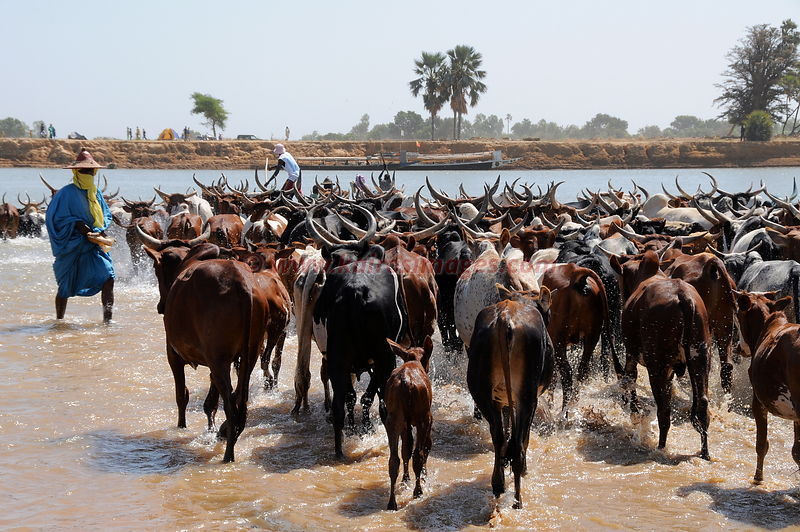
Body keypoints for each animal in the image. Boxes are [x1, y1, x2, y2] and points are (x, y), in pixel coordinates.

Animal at [384, 336, 434, 512]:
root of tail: (407, 383)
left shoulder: (405, 423)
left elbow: (406, 449)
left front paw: (405, 479)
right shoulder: (427, 417)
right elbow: (425, 446)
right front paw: (423, 477)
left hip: (393, 419)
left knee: (394, 459)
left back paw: (392, 502)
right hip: (421, 418)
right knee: (418, 454)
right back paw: (418, 491)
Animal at [466, 284, 552, 510]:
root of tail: (505, 316)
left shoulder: (501, 400)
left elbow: (504, 429)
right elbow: (524, 437)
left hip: (482, 392)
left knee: (499, 437)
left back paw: (498, 483)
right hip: (526, 396)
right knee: (516, 443)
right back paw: (517, 499)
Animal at [732, 288, 800, 484]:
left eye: (737, 313)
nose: (738, 347)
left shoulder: (758, 400)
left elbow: (762, 444)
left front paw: (758, 477)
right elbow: (796, 451)